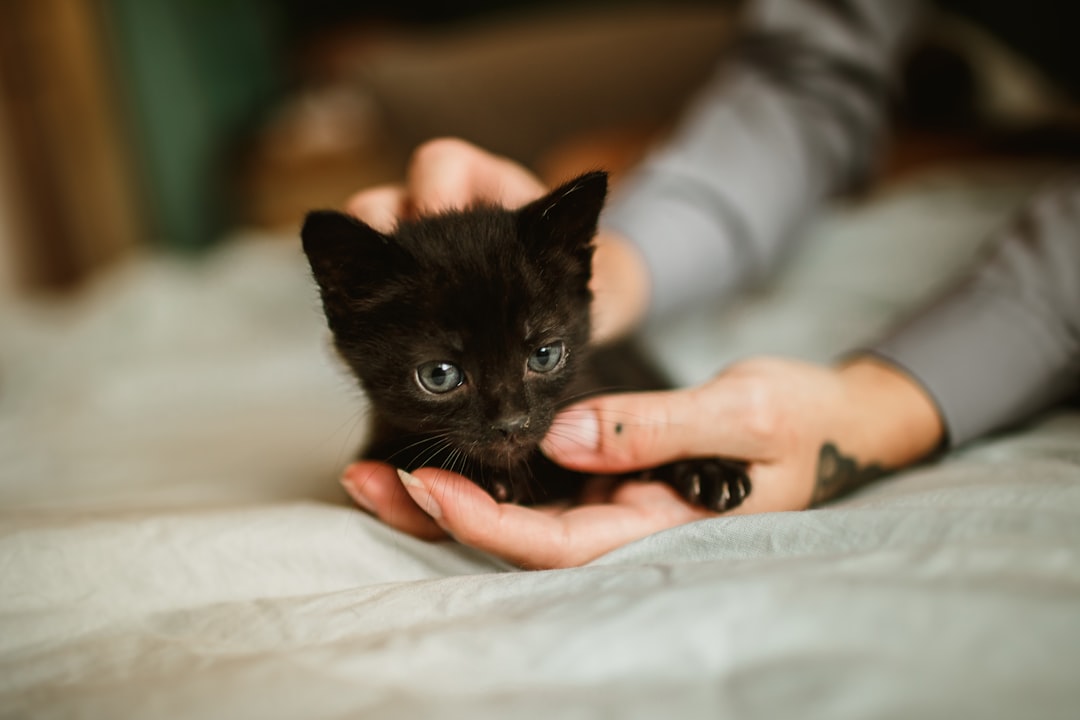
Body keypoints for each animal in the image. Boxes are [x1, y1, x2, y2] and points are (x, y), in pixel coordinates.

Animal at [300, 172, 747, 511]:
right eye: (439, 376)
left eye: (544, 356)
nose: (512, 424)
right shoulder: (377, 444)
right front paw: (489, 477)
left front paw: (708, 468)